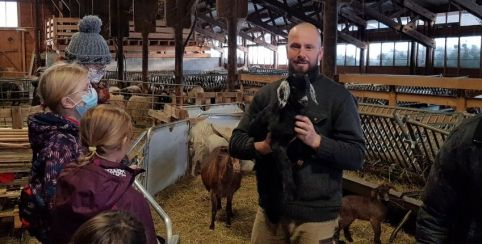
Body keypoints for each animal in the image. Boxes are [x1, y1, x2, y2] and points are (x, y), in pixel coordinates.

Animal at [250, 73, 318, 203]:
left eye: (307, 87)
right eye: (294, 88)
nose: (304, 101)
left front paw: (303, 157)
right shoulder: (276, 141)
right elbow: (285, 163)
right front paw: (290, 193)